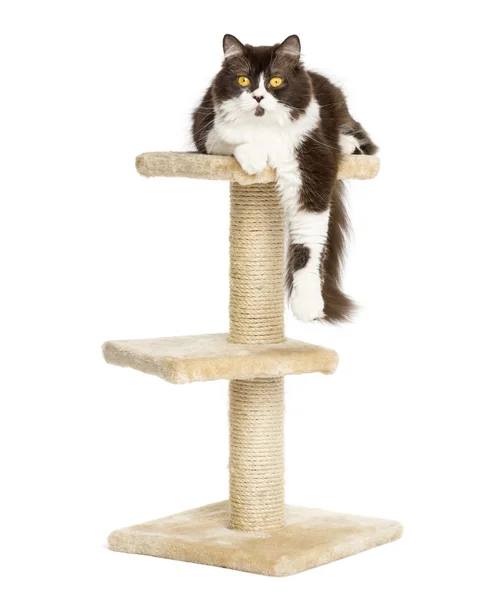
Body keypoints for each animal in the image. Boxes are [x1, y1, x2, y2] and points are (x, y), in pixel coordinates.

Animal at [192, 32, 378, 324]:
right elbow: (231, 139)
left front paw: (308, 305)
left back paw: (346, 145)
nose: (258, 97)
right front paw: (254, 161)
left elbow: (309, 243)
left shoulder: (313, 166)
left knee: (364, 143)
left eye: (276, 81)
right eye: (243, 80)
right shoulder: (205, 128)